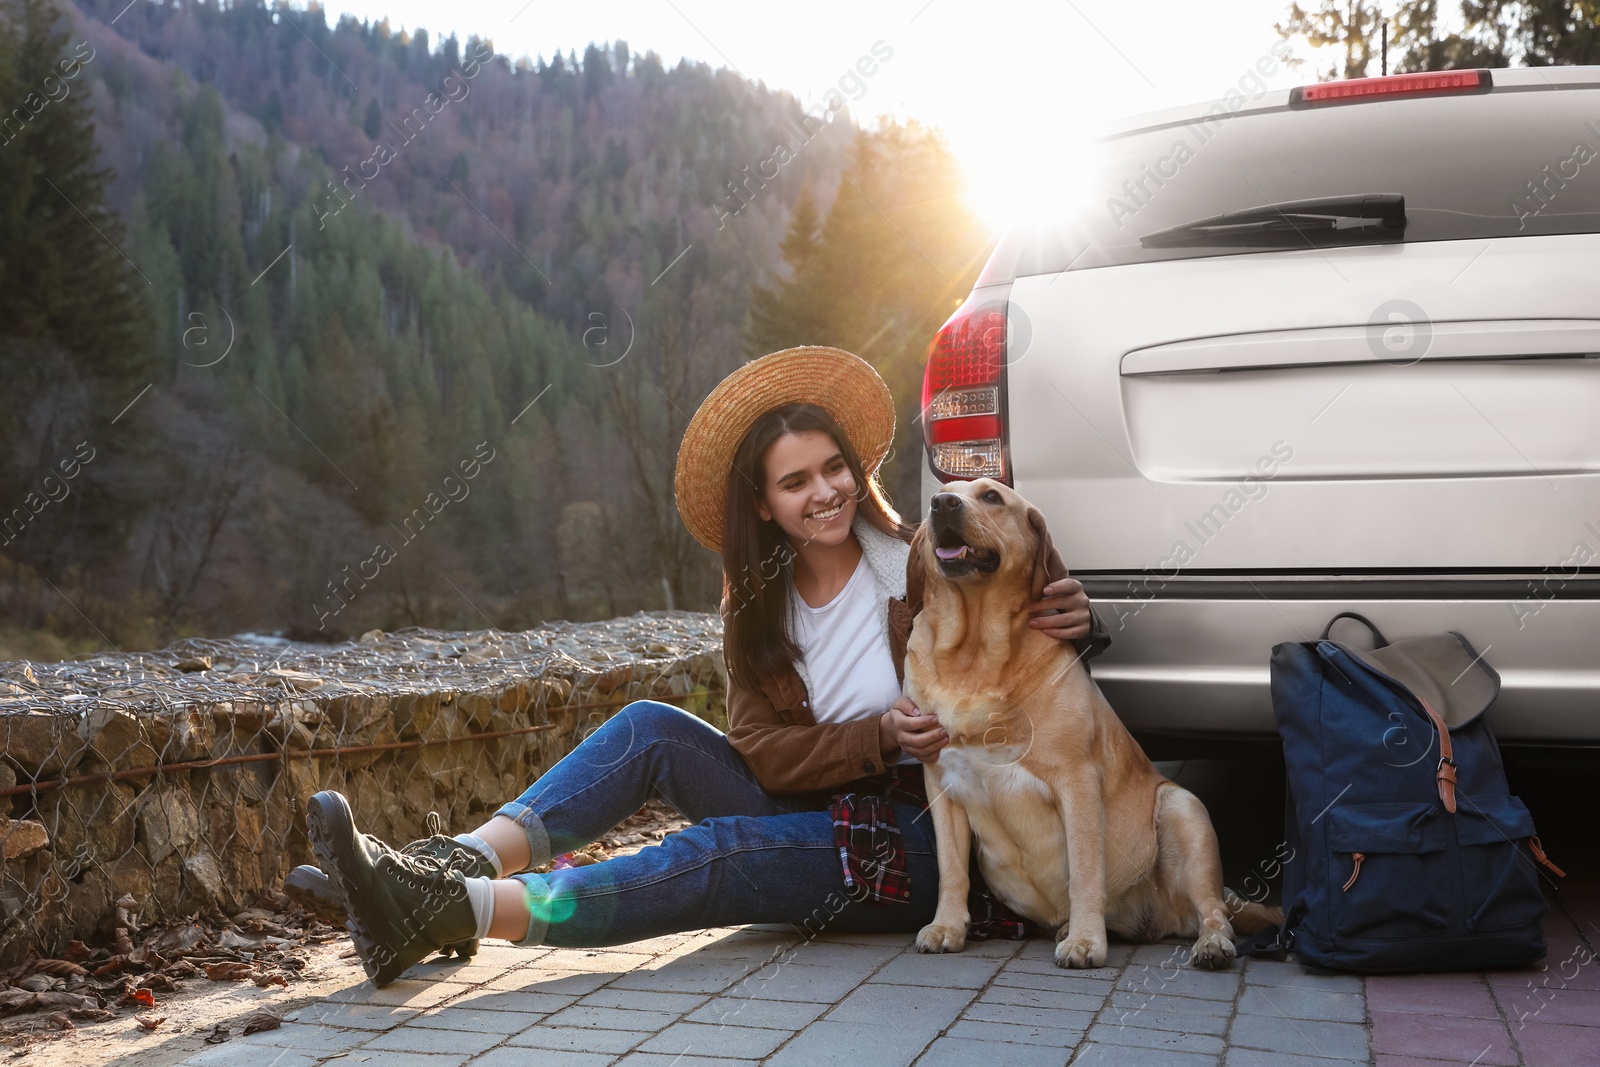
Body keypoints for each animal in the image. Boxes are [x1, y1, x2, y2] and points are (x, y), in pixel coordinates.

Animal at [908, 479, 1280, 972]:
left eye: (991, 496)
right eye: (946, 491)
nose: (941, 503)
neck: (974, 656)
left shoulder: (1078, 780)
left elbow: (1085, 870)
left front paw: (1086, 940)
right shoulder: (941, 785)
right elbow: (951, 871)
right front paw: (946, 926)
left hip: (1183, 810)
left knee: (1214, 910)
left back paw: (1211, 944)